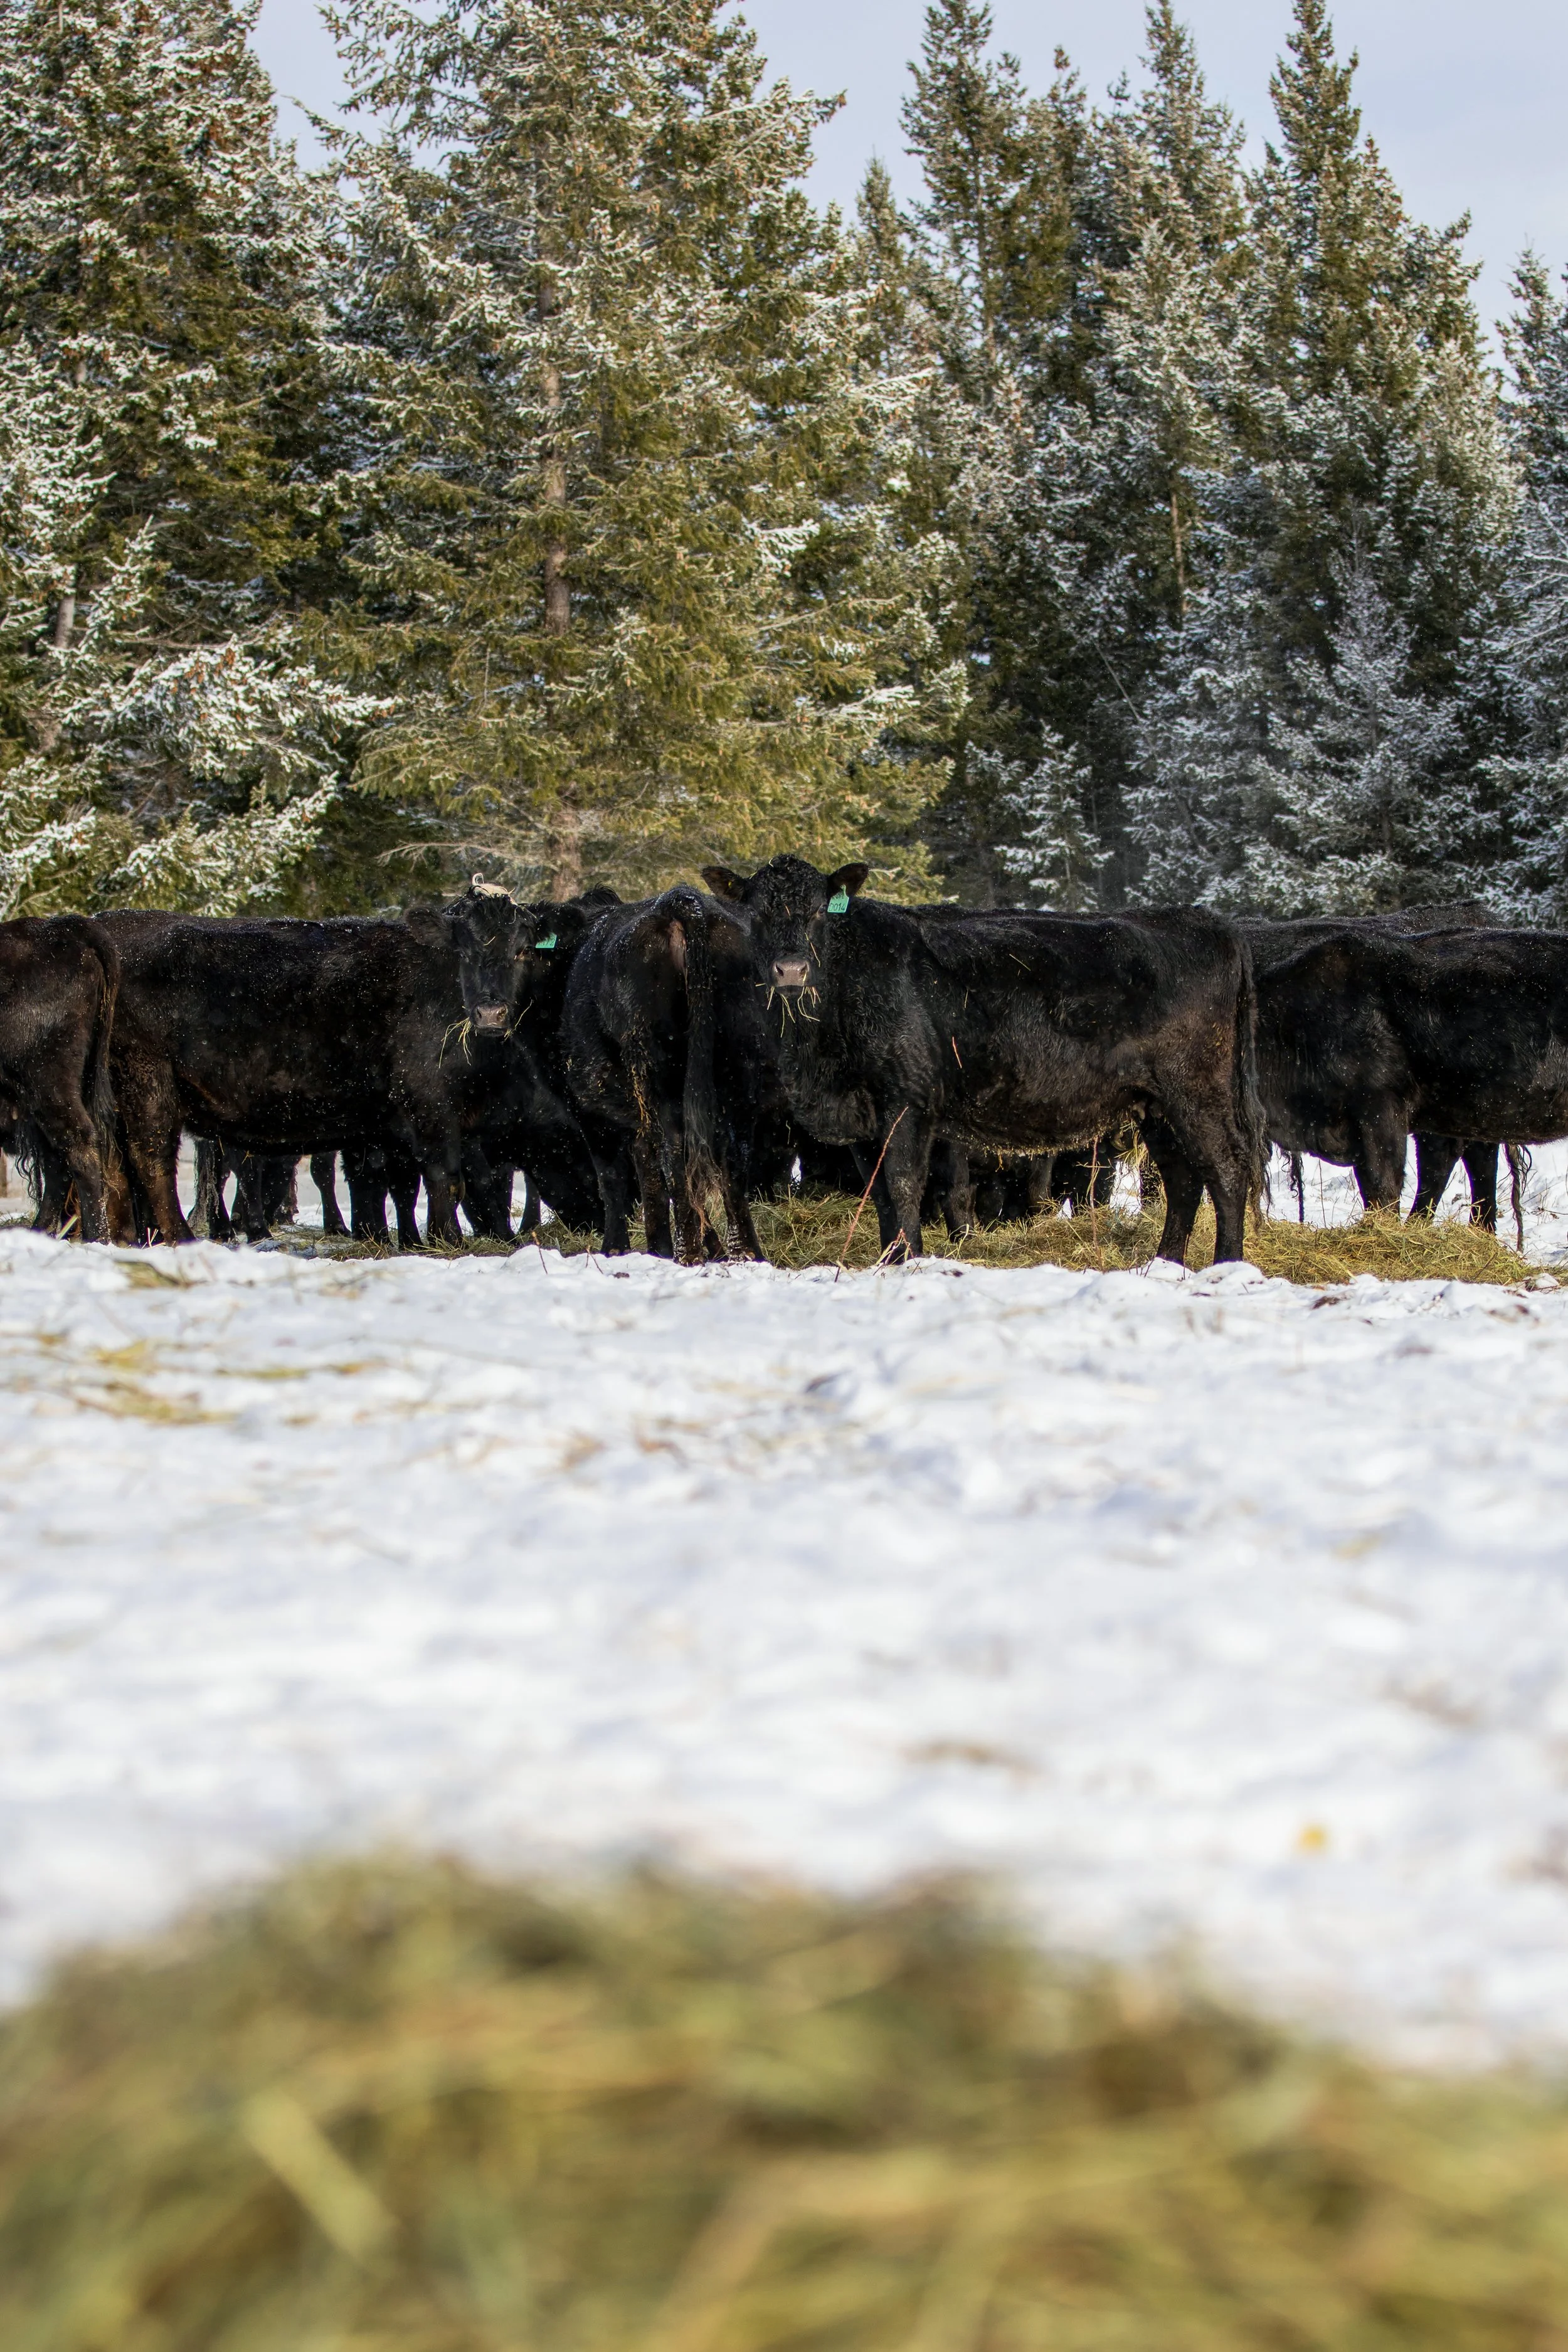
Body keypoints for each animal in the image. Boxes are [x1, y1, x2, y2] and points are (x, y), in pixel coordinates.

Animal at [701, 856, 1266, 1265]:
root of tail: (1201, 919)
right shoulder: (861, 1115)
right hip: (1155, 1103)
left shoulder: (907, 1101)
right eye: (756, 914)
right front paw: (888, 1260)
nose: (791, 969)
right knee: (1183, 1178)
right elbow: (879, 1192)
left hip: (1196, 1089)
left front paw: (911, 1261)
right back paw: (1165, 1263)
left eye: (820, 910)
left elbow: (905, 1184)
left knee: (1226, 1168)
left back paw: (1226, 1264)